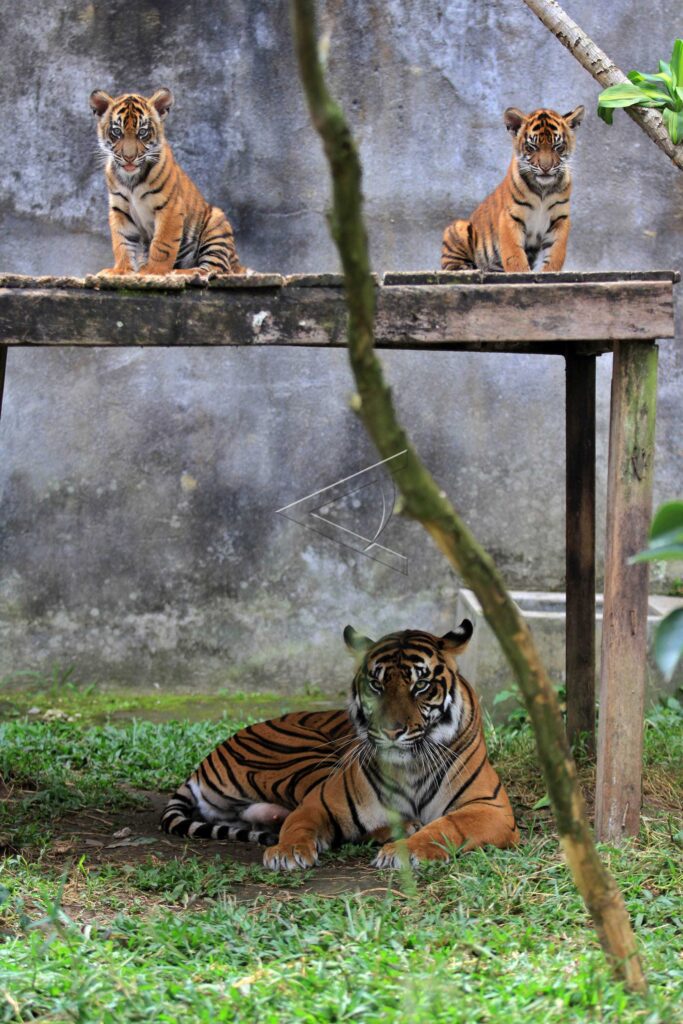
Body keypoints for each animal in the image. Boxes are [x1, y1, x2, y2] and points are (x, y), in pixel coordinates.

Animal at [89, 88, 244, 277]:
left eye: (143, 132)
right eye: (117, 132)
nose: (129, 157)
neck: (131, 179)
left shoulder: (170, 207)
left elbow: (162, 244)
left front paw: (153, 272)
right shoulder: (120, 209)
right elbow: (122, 242)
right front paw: (121, 271)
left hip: (216, 224)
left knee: (217, 268)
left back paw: (183, 272)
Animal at [161, 619, 519, 870]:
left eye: (420, 685)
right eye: (375, 684)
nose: (391, 731)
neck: (410, 767)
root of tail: (200, 766)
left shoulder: (491, 808)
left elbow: (447, 825)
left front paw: (405, 851)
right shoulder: (321, 801)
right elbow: (298, 823)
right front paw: (287, 852)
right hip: (304, 758)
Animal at [441, 105, 584, 273]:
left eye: (558, 147)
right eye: (531, 147)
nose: (545, 168)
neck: (543, 188)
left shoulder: (560, 219)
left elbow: (556, 254)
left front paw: (548, 272)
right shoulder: (510, 216)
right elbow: (514, 255)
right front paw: (522, 271)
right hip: (457, 228)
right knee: (449, 265)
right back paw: (467, 268)